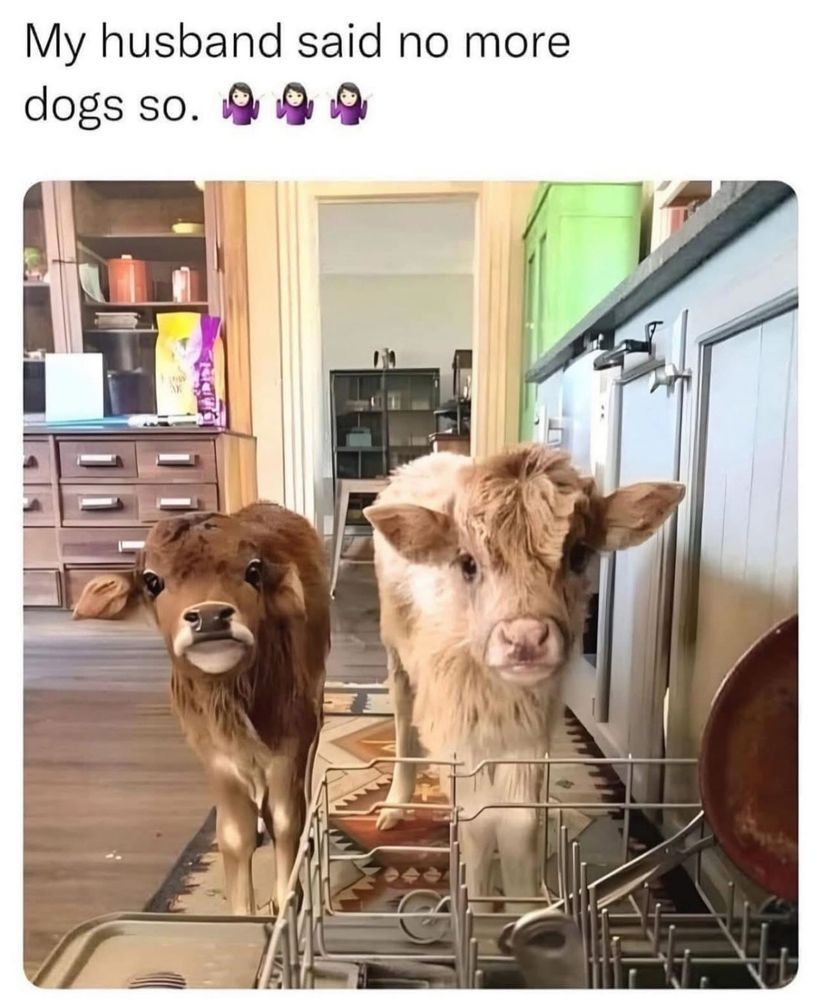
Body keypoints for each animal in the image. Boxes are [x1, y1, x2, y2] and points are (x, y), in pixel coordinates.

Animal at [73, 502, 329, 916]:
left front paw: (286, 897)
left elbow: (287, 820)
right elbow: (234, 836)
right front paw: (243, 914)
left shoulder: (289, 746)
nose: (210, 617)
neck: (231, 704)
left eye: (253, 571)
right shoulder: (215, 758)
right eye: (152, 581)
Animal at [364, 445, 684, 911]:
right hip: (395, 652)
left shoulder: (529, 739)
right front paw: (480, 911)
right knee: (404, 724)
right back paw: (394, 804)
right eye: (467, 563)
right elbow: (478, 831)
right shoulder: (459, 734)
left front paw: (526, 908)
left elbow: (520, 828)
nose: (526, 638)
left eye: (578, 554)